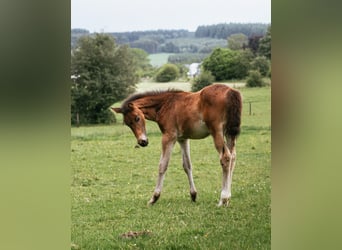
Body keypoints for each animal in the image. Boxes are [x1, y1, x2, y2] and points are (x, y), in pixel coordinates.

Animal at [111, 83, 242, 206]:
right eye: (128, 123)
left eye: (137, 118)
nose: (142, 142)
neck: (164, 105)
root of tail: (231, 91)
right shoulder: (183, 139)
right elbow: (187, 165)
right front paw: (193, 195)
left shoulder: (169, 137)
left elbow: (162, 165)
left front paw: (154, 198)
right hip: (229, 133)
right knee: (233, 157)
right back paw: (227, 199)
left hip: (217, 132)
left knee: (225, 157)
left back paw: (223, 199)